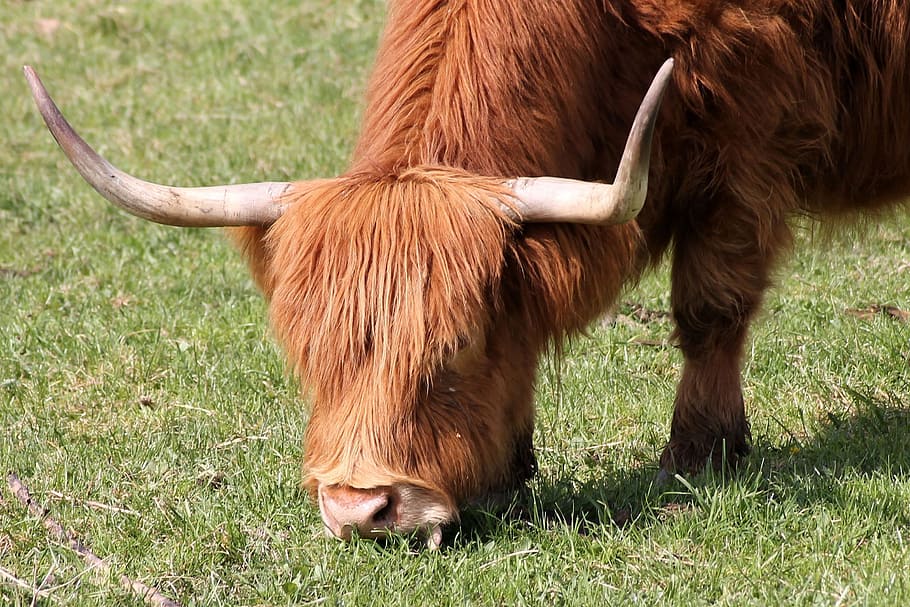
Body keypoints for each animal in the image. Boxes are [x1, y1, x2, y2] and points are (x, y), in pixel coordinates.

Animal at [25, 1, 910, 548]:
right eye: (307, 352)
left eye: (455, 347)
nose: (361, 506)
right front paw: (508, 467)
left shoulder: (749, 144)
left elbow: (710, 306)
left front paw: (699, 453)